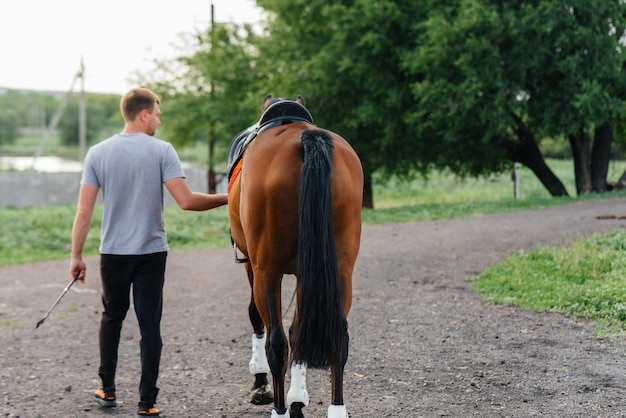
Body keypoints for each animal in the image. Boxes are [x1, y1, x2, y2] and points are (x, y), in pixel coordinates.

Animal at [225, 95, 360, 418]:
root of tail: (306, 139)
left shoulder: (254, 265)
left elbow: (257, 318)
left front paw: (261, 385)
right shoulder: (306, 272)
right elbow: (299, 328)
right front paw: (298, 398)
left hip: (267, 271)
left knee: (276, 341)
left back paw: (279, 409)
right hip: (340, 270)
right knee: (337, 335)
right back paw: (335, 408)